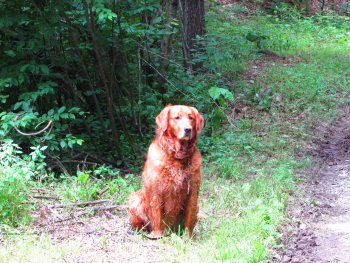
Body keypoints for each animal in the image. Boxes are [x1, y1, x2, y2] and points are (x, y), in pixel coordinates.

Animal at [129, 104, 205, 239]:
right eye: (177, 118)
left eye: (191, 118)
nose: (188, 129)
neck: (177, 156)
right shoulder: (156, 190)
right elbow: (157, 215)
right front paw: (157, 236)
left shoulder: (193, 191)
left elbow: (189, 219)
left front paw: (187, 238)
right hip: (135, 198)